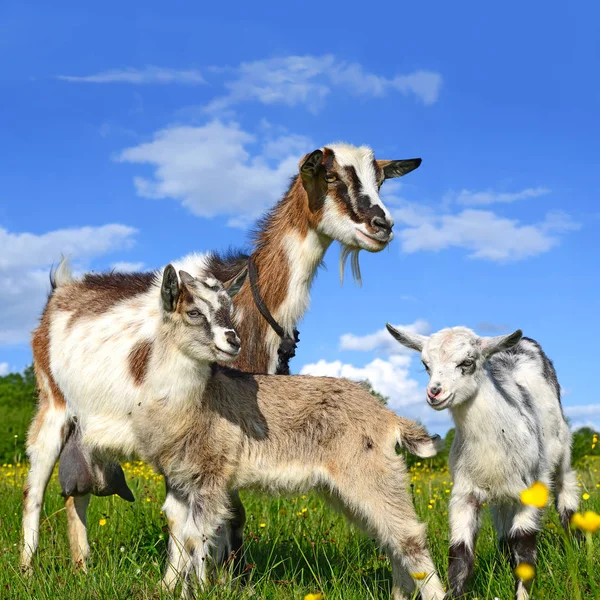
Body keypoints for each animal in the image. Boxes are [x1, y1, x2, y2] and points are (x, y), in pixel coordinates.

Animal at [23, 143, 422, 576]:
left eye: (379, 180)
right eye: (330, 176)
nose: (382, 225)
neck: (251, 308)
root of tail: (61, 289)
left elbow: (227, 515)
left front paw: (228, 578)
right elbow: (196, 516)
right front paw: (198, 578)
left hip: (87, 425)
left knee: (76, 492)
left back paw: (83, 564)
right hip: (52, 402)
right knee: (35, 485)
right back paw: (27, 568)